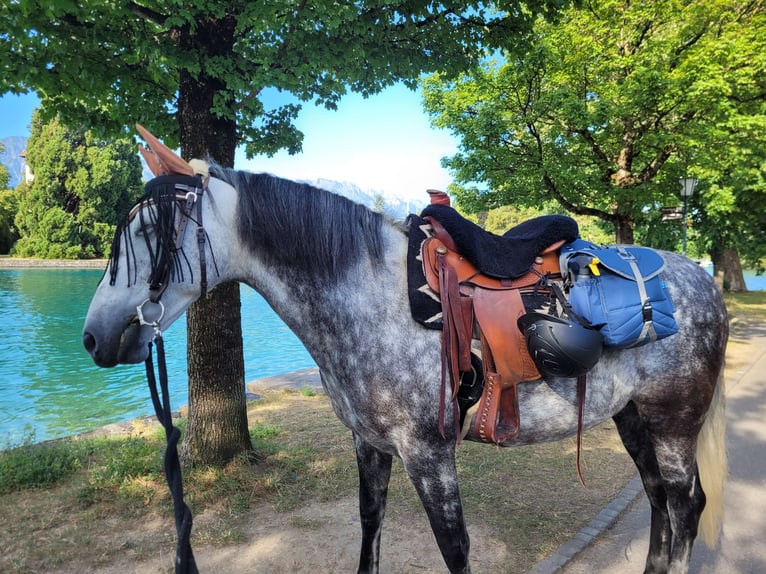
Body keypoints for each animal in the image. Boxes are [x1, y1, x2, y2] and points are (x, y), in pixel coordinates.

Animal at [82, 134, 727, 574]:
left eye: (151, 233)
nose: (92, 337)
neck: (371, 298)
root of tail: (701, 277)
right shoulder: (369, 443)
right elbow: (371, 528)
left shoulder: (429, 453)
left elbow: (454, 548)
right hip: (633, 417)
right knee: (659, 500)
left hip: (674, 422)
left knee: (685, 503)